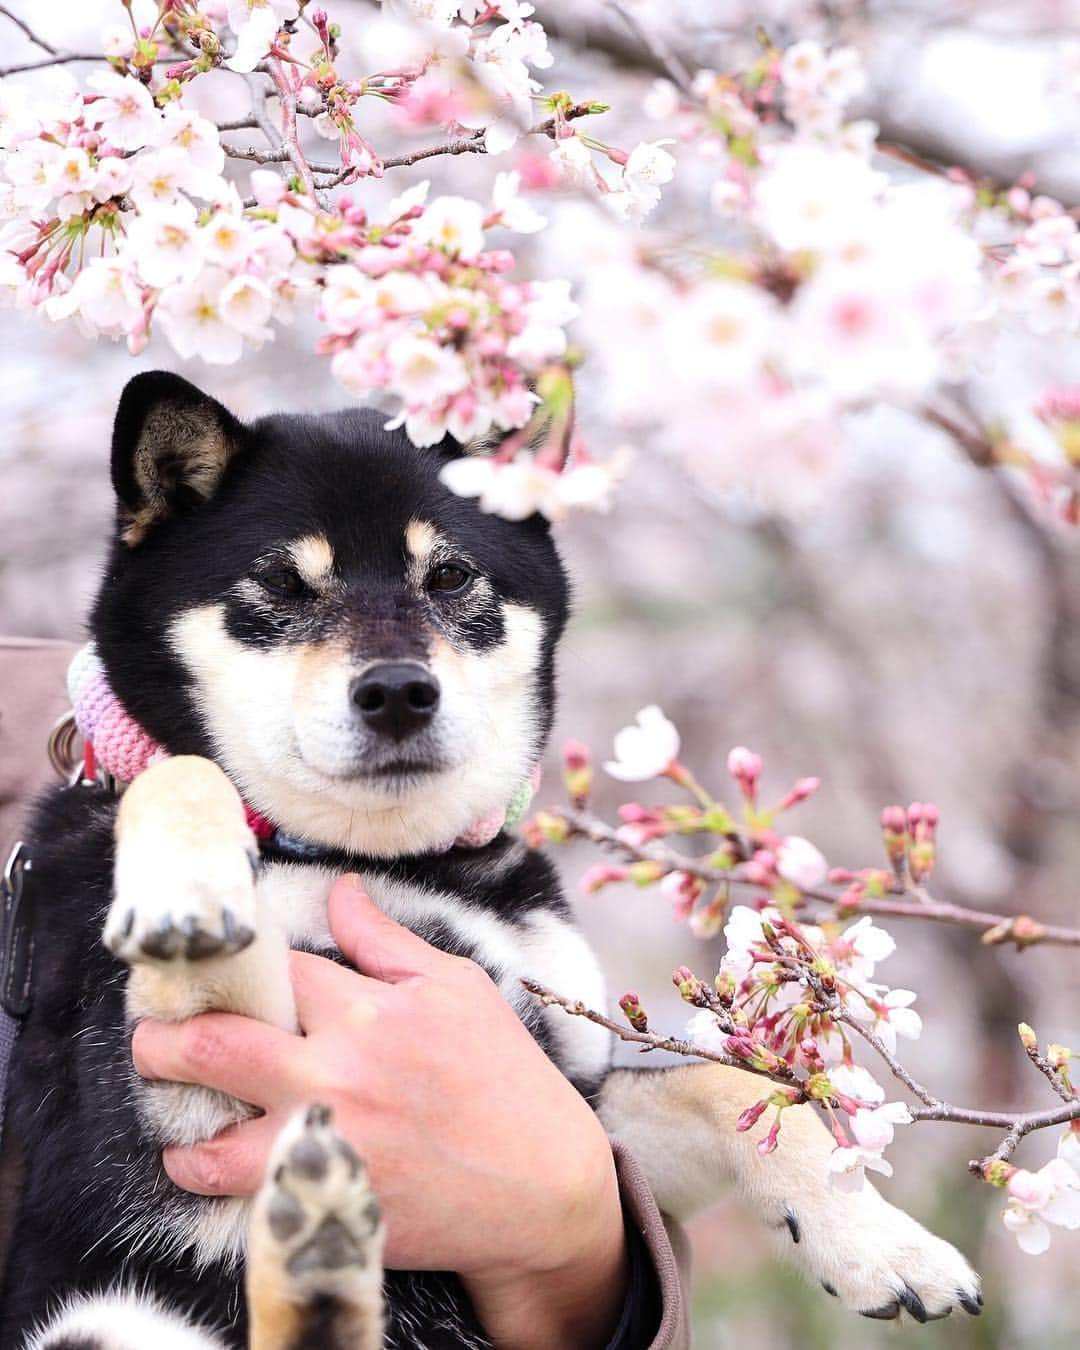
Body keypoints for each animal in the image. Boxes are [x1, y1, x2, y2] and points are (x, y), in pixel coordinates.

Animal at [0, 372, 977, 1350]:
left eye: (449, 575)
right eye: (280, 580)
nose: (398, 691)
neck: (382, 858)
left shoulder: (565, 1106)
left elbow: (714, 1088)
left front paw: (881, 1240)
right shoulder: (174, 1092)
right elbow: (190, 771)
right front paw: (191, 893)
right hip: (111, 1317)